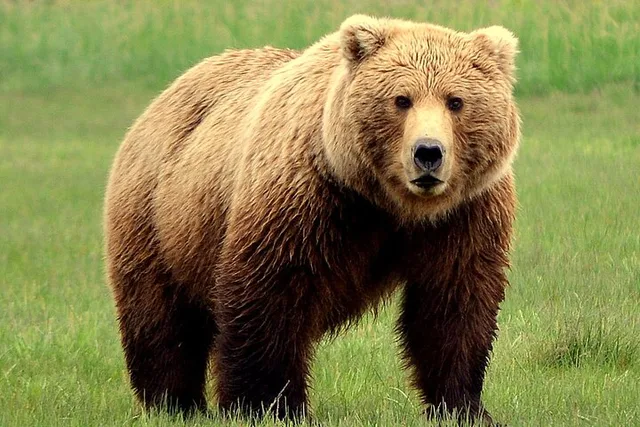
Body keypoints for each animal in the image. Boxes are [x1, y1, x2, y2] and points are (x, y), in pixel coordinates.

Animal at [104, 14, 520, 425]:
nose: (428, 153)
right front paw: (267, 405)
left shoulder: (464, 214)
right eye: (402, 99)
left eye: (456, 101)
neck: (391, 204)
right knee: (163, 318)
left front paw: (464, 406)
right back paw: (173, 402)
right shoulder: (308, 201)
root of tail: (164, 95)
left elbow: (453, 303)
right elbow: (270, 295)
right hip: (161, 216)